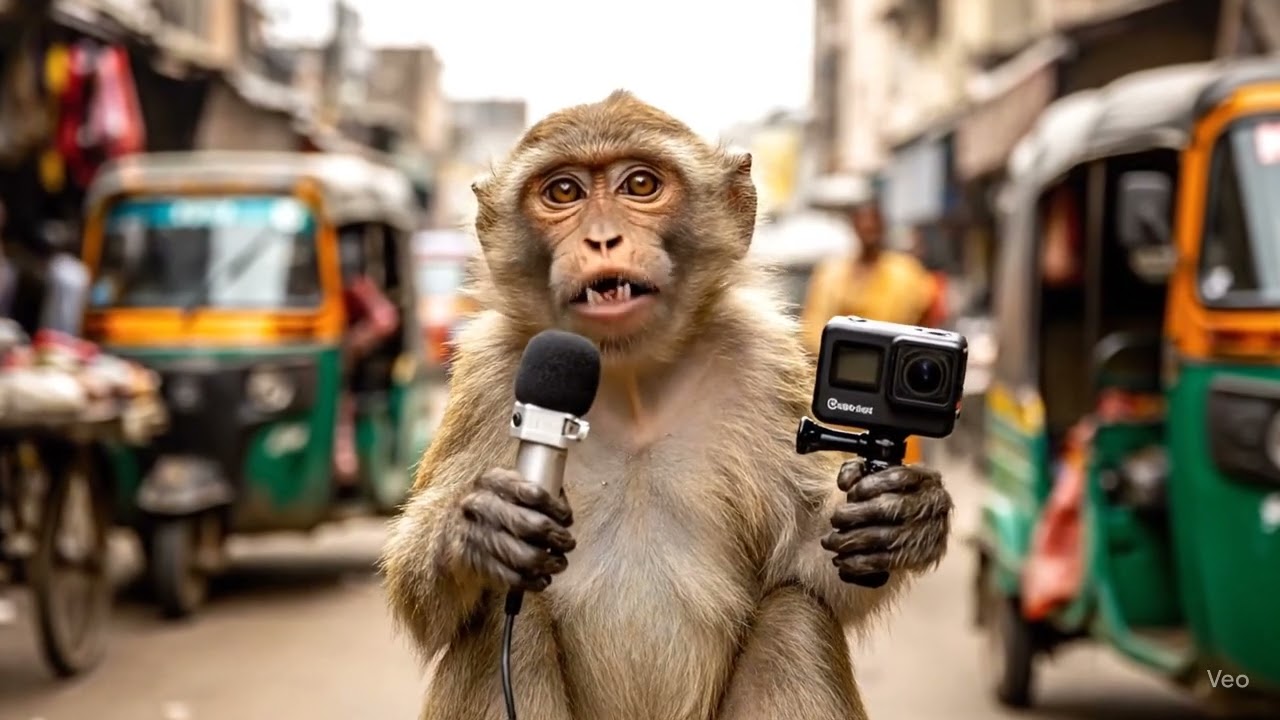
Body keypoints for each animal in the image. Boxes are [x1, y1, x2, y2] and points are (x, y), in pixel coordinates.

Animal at [380, 90, 953, 720]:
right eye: (563, 192)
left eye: (640, 184)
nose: (602, 239)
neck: (631, 385)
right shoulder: (489, 372)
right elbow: (422, 604)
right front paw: (477, 529)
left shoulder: (762, 358)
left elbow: (813, 567)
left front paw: (900, 516)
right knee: (506, 622)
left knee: (794, 621)